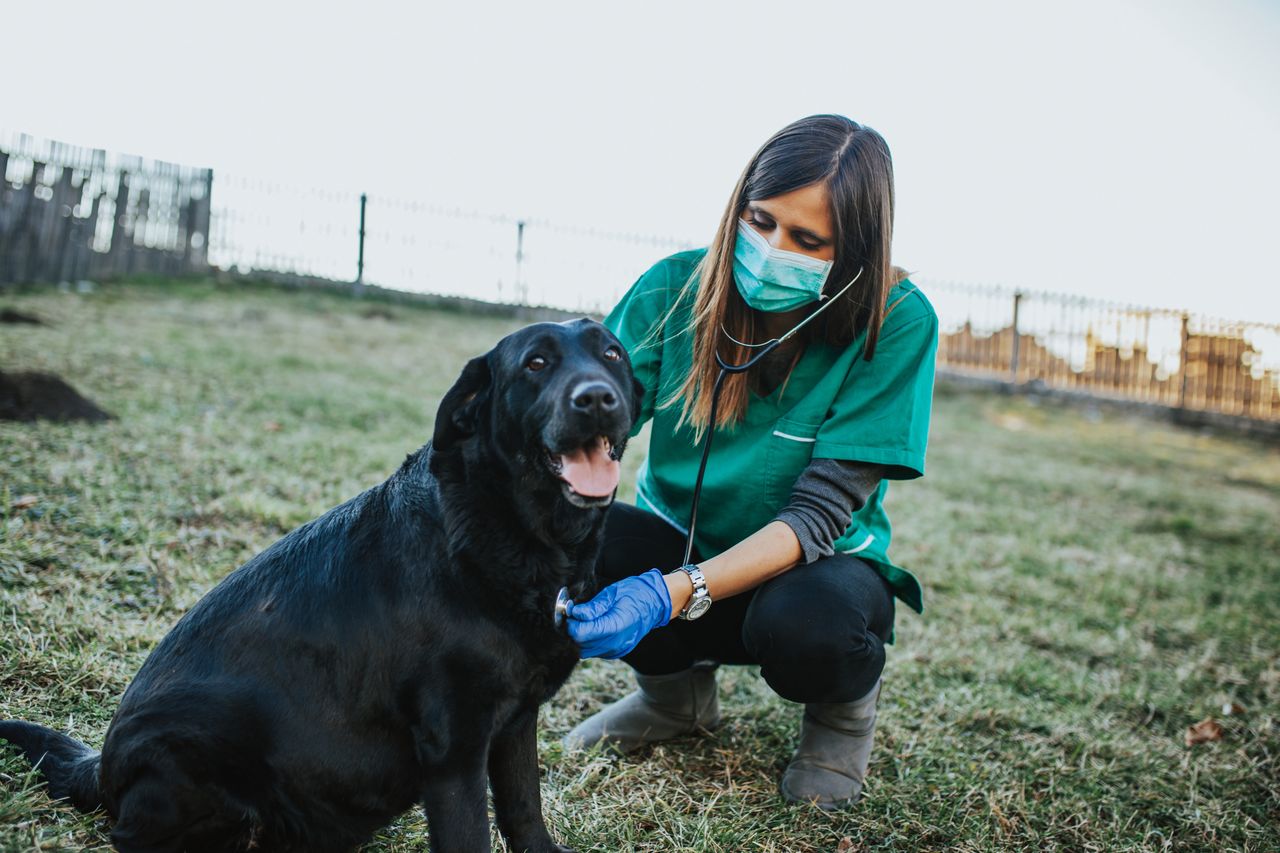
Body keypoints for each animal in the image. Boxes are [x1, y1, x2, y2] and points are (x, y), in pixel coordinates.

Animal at [0, 317, 640, 850]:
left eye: (611, 353)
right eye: (536, 363)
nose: (597, 398)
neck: (506, 534)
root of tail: (102, 768)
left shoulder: (514, 725)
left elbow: (525, 814)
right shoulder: (453, 748)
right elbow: (471, 835)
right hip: (196, 768)